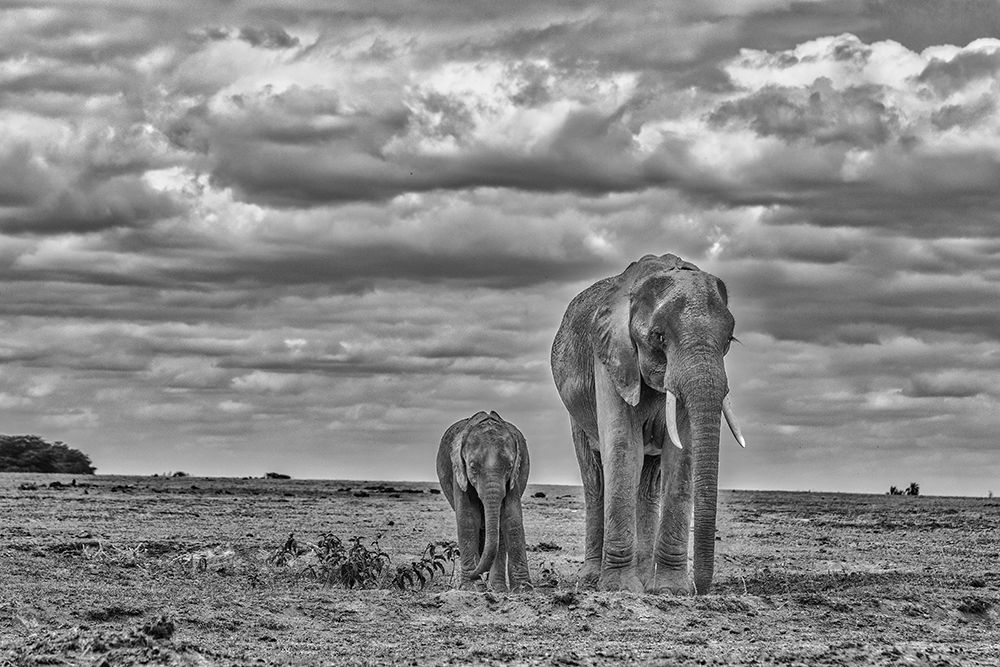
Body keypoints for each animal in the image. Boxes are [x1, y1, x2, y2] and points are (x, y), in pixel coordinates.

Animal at [436, 410, 532, 592]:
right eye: (473, 467)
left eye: (509, 467)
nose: (476, 574)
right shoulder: (459, 471)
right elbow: (468, 518)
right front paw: (471, 587)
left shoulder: (514, 476)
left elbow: (511, 517)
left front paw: (524, 589)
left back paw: (498, 588)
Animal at [550, 253, 746, 595]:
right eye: (658, 336)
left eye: (729, 341)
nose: (700, 589)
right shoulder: (611, 356)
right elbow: (623, 447)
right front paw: (619, 589)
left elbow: (682, 454)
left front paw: (670, 590)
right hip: (576, 413)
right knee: (595, 478)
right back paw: (591, 579)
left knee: (649, 482)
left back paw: (645, 580)